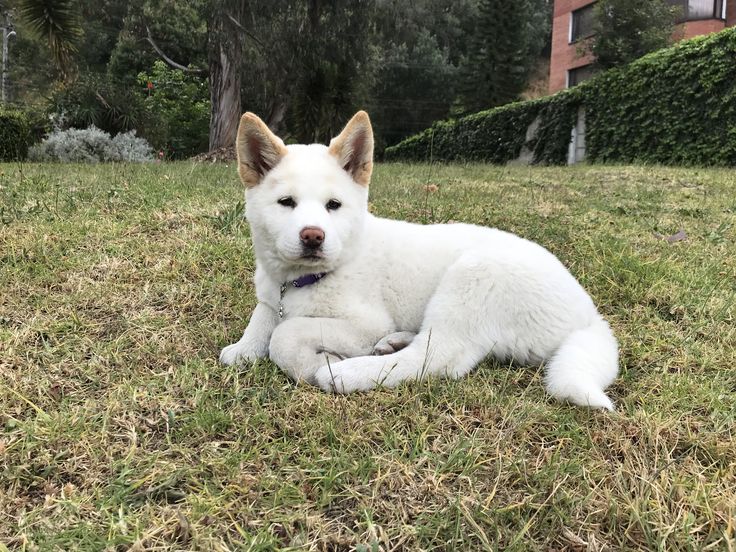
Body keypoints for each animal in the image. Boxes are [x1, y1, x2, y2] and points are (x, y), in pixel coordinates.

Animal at [220, 111, 620, 410]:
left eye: (333, 205)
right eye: (286, 203)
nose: (313, 236)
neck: (305, 279)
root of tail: (588, 315)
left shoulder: (365, 322)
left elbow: (284, 334)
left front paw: (318, 361)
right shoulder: (271, 296)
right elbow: (262, 321)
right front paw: (244, 349)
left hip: (472, 278)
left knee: (436, 359)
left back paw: (349, 373)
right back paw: (393, 342)